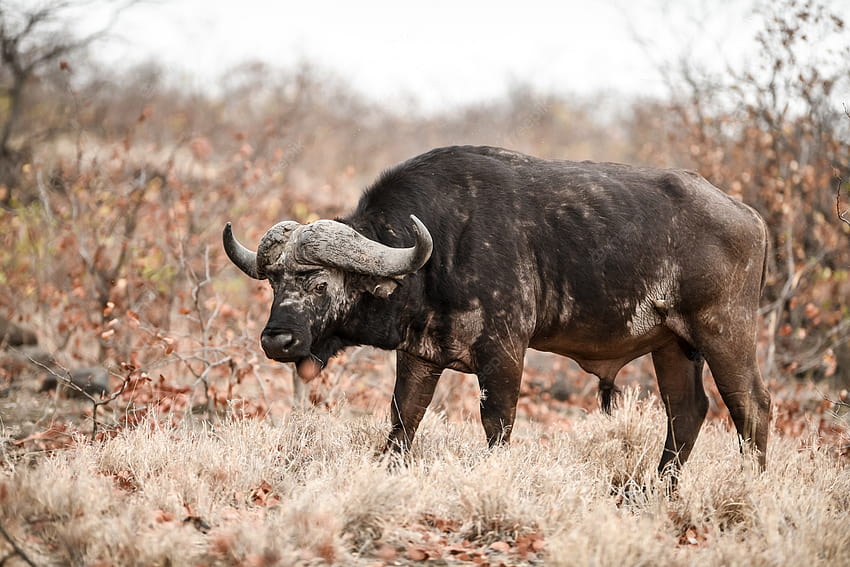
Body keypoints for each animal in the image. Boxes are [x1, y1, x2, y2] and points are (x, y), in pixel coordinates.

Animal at [222, 145, 772, 474]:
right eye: (273, 281)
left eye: (318, 281)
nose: (276, 339)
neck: (440, 248)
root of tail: (749, 216)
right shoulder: (419, 355)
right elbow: (403, 421)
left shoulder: (505, 352)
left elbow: (497, 422)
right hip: (673, 347)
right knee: (687, 411)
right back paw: (656, 488)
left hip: (725, 333)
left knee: (751, 408)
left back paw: (750, 485)